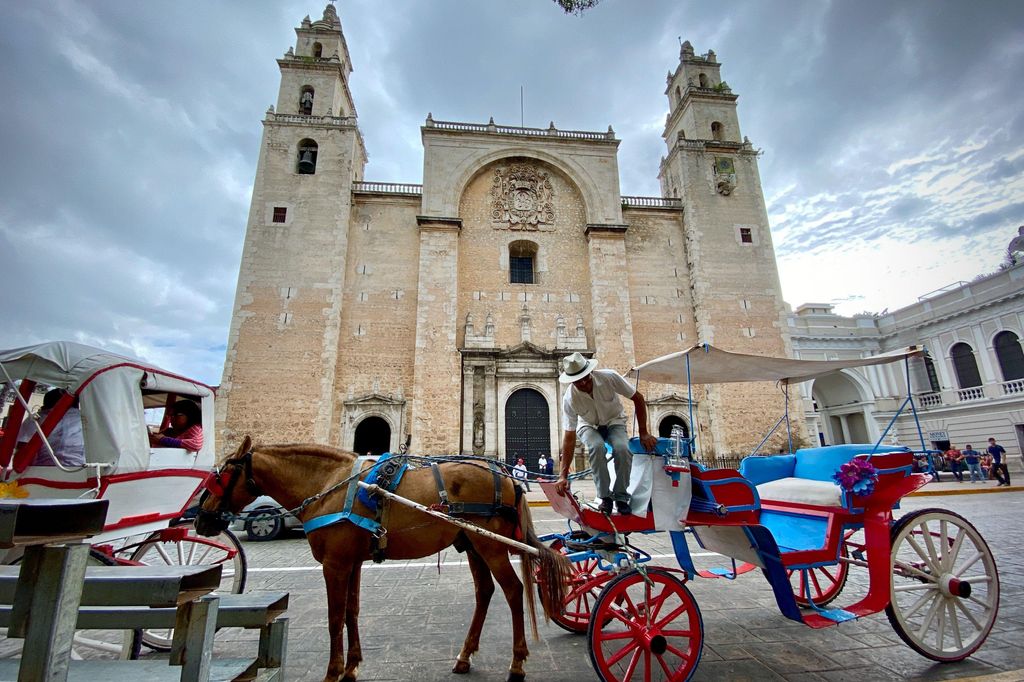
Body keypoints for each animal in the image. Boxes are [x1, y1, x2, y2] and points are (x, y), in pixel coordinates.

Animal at [195, 436, 573, 679]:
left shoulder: (334, 564)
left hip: (491, 546)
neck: (330, 484)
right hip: (473, 545)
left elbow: (334, 618)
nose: (201, 519)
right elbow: (352, 611)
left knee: (512, 590)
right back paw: (465, 657)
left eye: (221, 474)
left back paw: (517, 663)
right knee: (486, 592)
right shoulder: (352, 561)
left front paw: (333, 672)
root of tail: (507, 477)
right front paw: (352, 666)